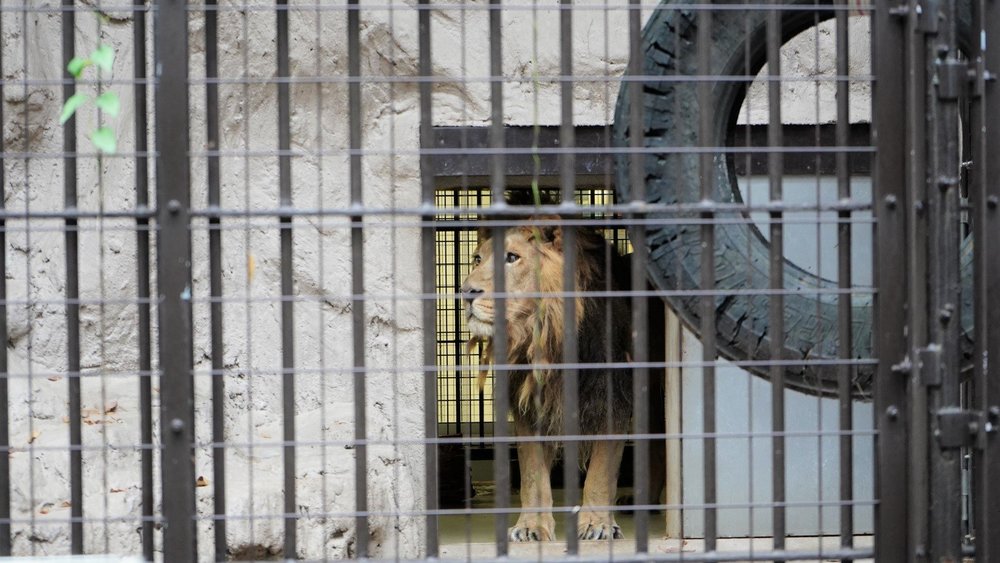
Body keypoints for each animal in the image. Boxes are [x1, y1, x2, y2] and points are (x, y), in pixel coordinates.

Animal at [460, 220, 632, 540]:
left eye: (512, 257)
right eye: (477, 259)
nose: (464, 292)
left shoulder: (614, 397)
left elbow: (601, 469)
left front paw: (597, 524)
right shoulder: (528, 404)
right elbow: (532, 473)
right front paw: (531, 527)